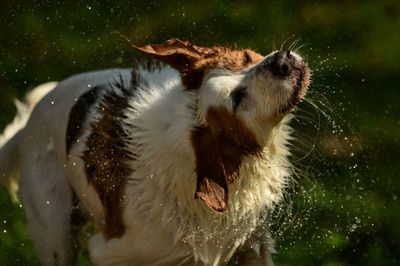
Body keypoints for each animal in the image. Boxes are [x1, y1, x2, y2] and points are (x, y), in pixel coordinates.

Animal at [0, 38, 310, 264]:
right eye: (238, 98)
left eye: (246, 58)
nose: (283, 61)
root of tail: (26, 130)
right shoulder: (109, 251)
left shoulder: (254, 242)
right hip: (57, 232)